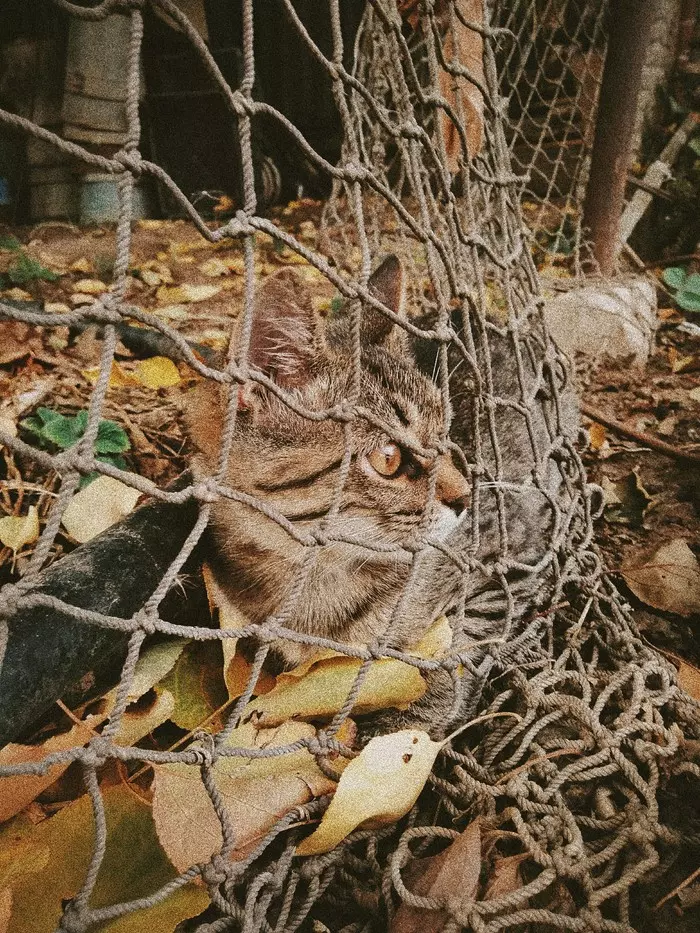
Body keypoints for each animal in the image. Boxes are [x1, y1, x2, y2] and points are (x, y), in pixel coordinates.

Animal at [183, 255, 584, 736]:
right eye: (388, 458)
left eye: (447, 437)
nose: (466, 497)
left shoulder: (516, 553)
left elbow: (460, 642)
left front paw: (408, 724)